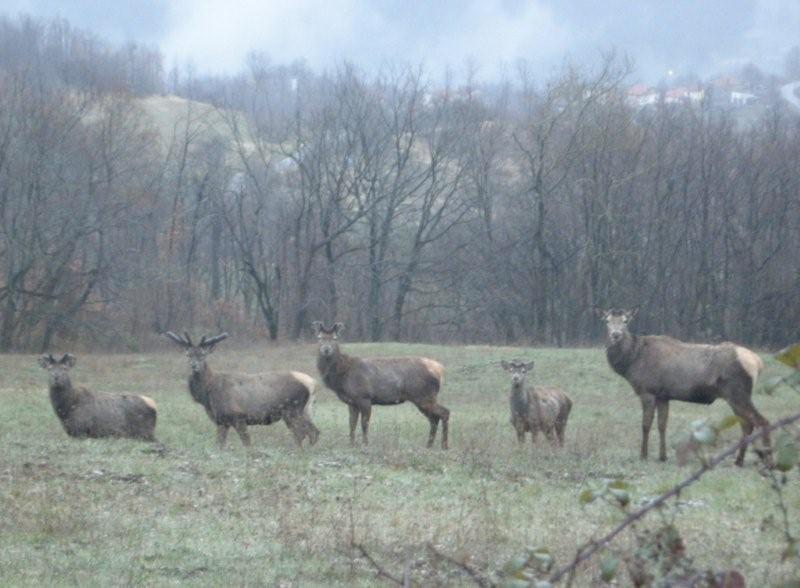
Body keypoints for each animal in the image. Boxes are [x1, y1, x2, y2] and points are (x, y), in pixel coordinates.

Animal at [165, 334, 318, 448]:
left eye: (203, 355)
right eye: (188, 355)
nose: (194, 365)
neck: (208, 396)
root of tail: (312, 383)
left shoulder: (238, 416)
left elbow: (246, 442)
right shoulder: (222, 420)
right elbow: (219, 444)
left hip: (292, 409)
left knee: (302, 433)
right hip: (305, 410)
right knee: (314, 432)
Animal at [312, 322, 450, 450]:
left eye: (335, 338)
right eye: (319, 338)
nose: (326, 349)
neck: (342, 376)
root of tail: (440, 369)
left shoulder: (364, 397)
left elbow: (364, 424)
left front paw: (365, 444)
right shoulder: (352, 402)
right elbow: (351, 424)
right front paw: (351, 444)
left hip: (423, 395)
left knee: (444, 413)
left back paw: (444, 446)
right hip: (423, 398)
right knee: (434, 419)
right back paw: (429, 445)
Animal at [592, 306, 768, 466]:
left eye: (625, 321)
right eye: (607, 321)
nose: (616, 334)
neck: (632, 361)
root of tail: (758, 362)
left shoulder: (648, 391)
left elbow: (646, 424)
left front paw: (643, 455)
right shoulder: (663, 395)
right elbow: (662, 425)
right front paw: (662, 456)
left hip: (737, 393)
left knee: (760, 421)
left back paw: (765, 460)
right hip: (736, 395)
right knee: (747, 424)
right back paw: (739, 460)